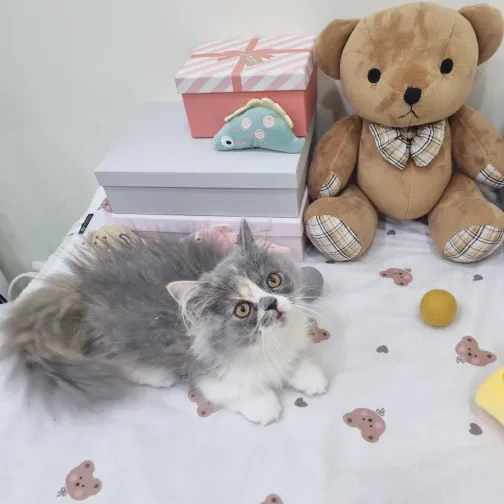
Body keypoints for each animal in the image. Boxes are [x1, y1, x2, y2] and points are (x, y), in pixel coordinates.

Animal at [1, 221, 328, 424]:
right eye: (243, 310)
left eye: (273, 281)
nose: (271, 303)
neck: (268, 343)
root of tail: (84, 285)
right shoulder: (205, 372)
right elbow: (236, 391)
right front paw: (265, 405)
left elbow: (294, 362)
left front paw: (310, 376)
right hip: (123, 334)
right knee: (117, 359)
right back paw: (156, 375)